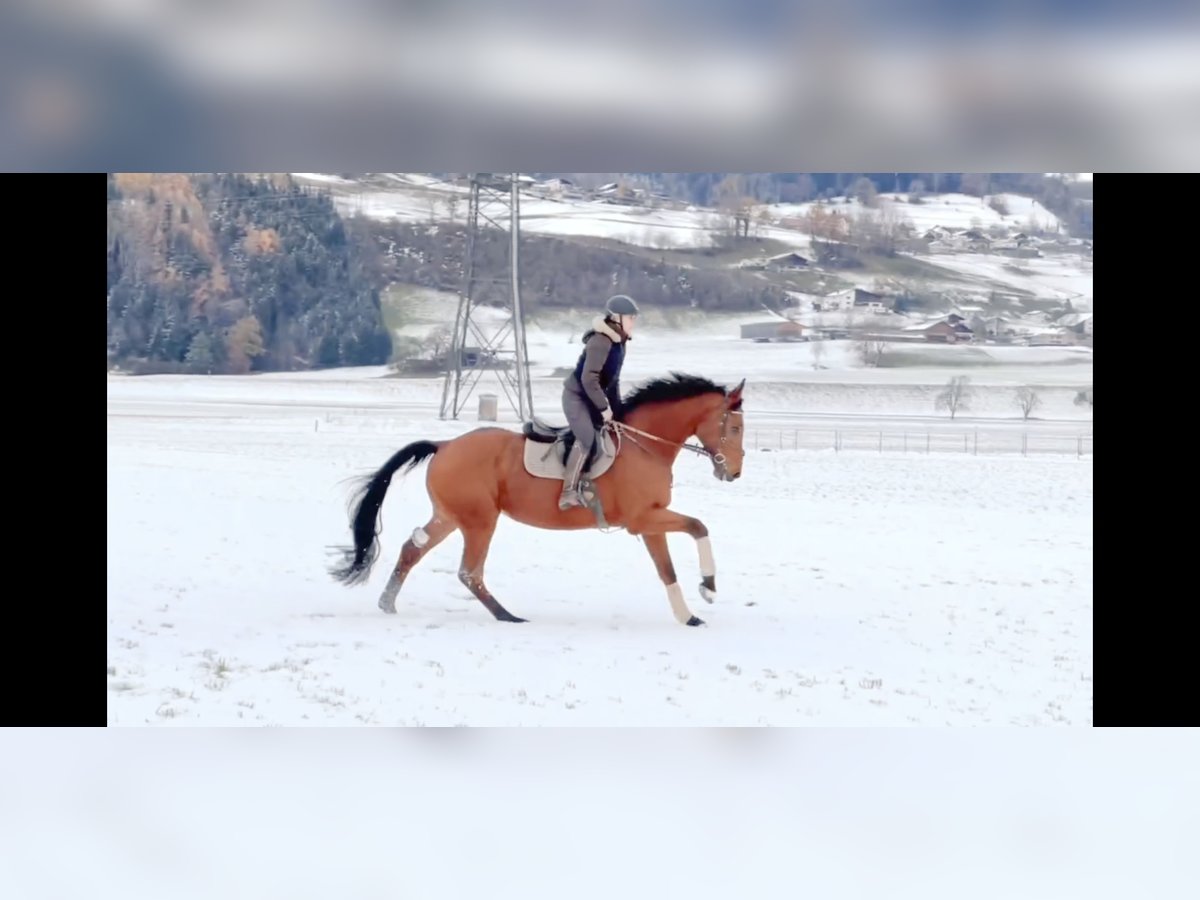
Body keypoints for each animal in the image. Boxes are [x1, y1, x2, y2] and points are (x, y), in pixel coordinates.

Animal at [328, 374, 739, 628]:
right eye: (734, 427)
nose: (733, 472)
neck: (645, 444)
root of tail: (444, 445)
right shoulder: (643, 519)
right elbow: (698, 526)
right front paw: (709, 586)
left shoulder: (651, 521)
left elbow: (667, 570)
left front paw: (689, 616)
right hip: (480, 520)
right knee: (469, 571)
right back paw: (507, 616)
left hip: (449, 516)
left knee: (412, 549)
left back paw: (388, 603)